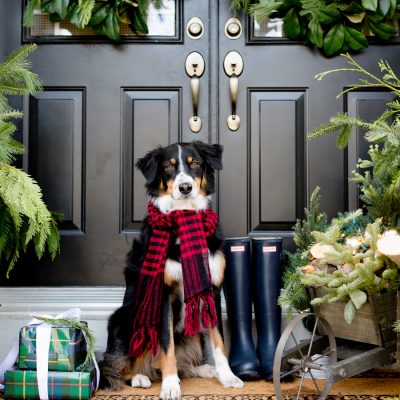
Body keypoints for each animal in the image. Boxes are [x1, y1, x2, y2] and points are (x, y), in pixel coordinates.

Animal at [101, 141, 244, 400]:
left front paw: (227, 376)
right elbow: (166, 346)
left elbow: (219, 342)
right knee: (115, 364)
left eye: (194, 163)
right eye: (168, 166)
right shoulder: (163, 294)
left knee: (184, 363)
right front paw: (169, 385)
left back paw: (205, 369)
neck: (183, 219)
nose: (185, 187)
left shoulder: (212, 290)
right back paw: (139, 376)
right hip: (126, 317)